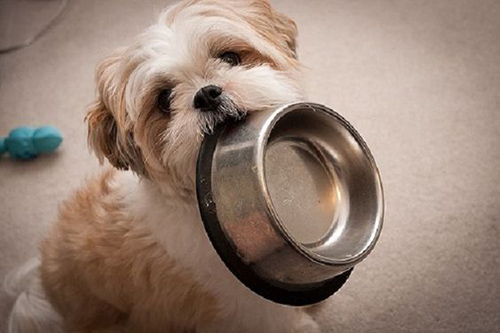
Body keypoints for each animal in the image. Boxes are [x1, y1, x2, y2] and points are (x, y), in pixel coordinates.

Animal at [4, 0, 320, 330]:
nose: (207, 94)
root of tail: (41, 287)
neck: (196, 199)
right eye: (164, 99)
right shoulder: (247, 306)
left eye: (230, 57)